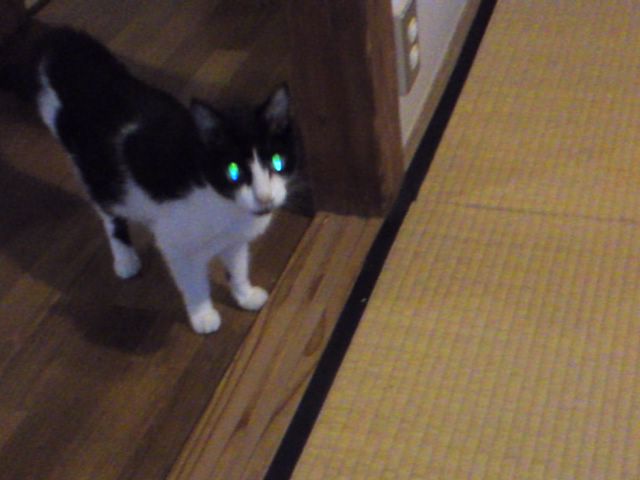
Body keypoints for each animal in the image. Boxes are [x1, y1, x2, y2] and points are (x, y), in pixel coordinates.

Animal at [3, 27, 297, 334]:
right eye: (233, 172)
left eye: (277, 162)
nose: (265, 197)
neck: (221, 202)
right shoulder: (176, 244)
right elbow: (193, 282)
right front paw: (203, 315)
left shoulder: (235, 240)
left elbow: (237, 266)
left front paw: (244, 294)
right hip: (97, 172)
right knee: (108, 212)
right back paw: (125, 258)